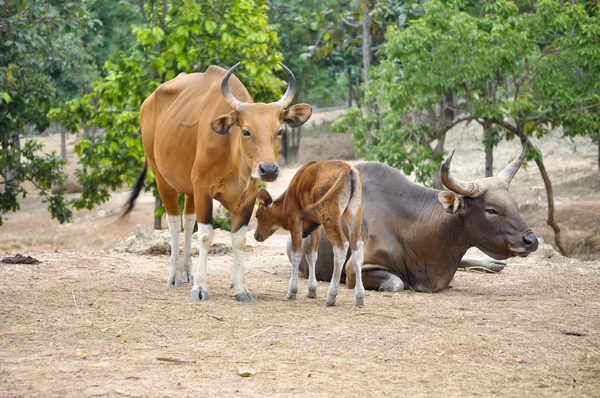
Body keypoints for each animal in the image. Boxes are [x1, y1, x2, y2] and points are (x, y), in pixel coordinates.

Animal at [121, 63, 310, 302]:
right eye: (246, 131)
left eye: (279, 131)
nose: (268, 169)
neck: (232, 154)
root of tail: (147, 103)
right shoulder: (203, 189)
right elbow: (205, 236)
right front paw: (200, 287)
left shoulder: (248, 195)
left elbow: (239, 239)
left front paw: (240, 288)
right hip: (161, 177)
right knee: (173, 221)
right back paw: (174, 276)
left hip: (189, 187)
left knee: (188, 219)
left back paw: (188, 273)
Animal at [253, 160, 366, 306]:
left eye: (256, 215)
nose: (256, 235)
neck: (285, 202)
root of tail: (347, 167)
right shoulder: (316, 225)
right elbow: (311, 254)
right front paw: (312, 290)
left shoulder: (295, 219)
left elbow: (296, 254)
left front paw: (292, 291)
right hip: (354, 212)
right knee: (357, 246)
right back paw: (359, 296)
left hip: (329, 216)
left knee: (341, 246)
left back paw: (331, 296)